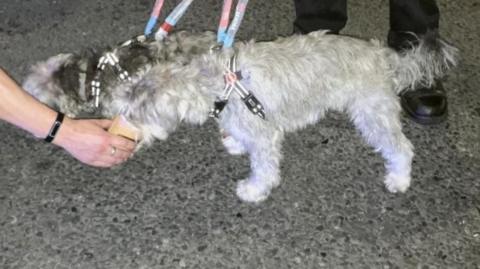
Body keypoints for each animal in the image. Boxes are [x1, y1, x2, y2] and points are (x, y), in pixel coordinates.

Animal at [23, 29, 458, 201]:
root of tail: (385, 55)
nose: (118, 133)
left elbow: (263, 166)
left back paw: (399, 178)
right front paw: (232, 141)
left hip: (373, 112)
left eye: (135, 114)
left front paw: (253, 190)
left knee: (400, 147)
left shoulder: (265, 136)